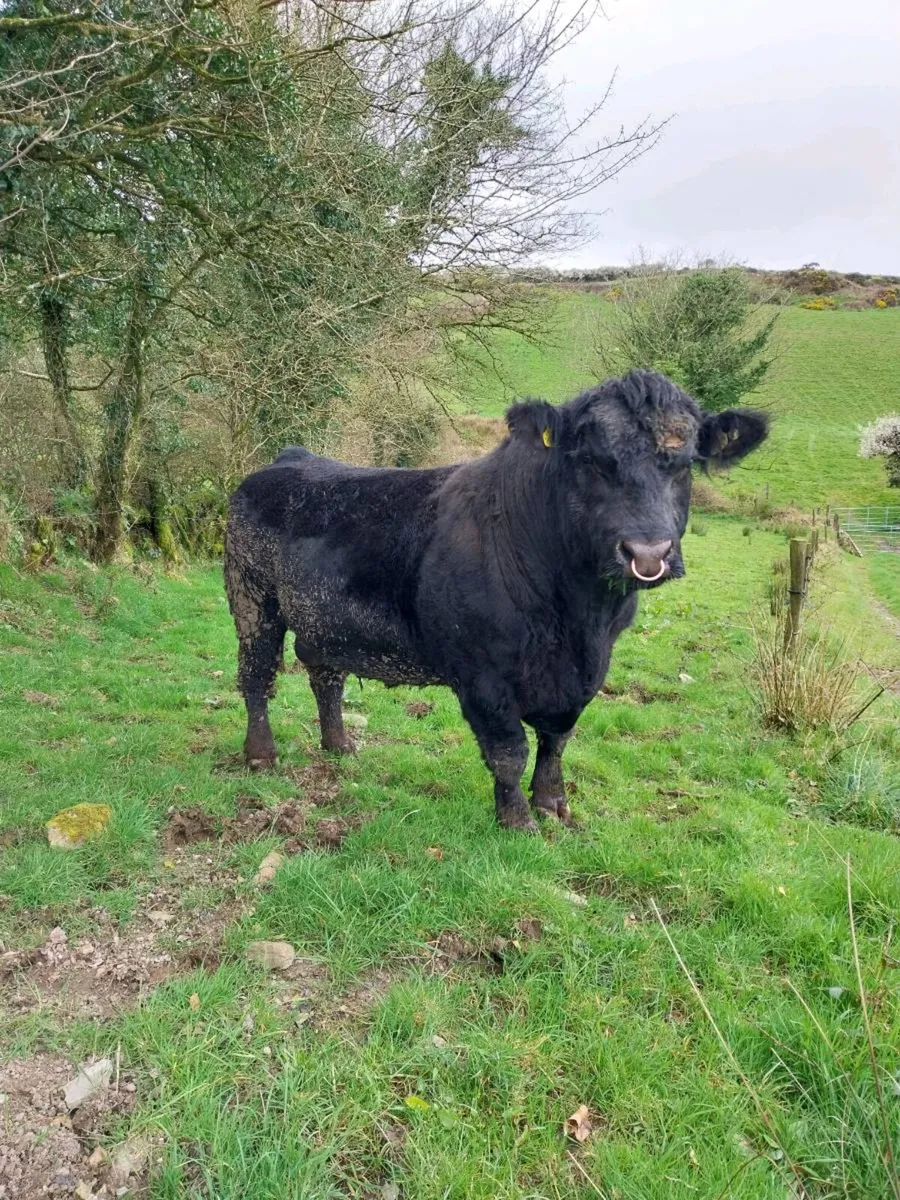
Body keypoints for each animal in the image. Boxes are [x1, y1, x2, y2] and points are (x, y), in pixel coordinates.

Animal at [224, 369, 768, 832]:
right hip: (252, 599)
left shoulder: (587, 672)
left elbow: (557, 740)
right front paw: (517, 821)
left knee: (324, 675)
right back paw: (261, 754)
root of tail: (290, 458)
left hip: (322, 617)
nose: (648, 553)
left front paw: (552, 805)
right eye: (590, 461)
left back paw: (339, 744)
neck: (579, 618)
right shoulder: (482, 673)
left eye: (684, 463)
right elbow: (510, 751)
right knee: (256, 675)